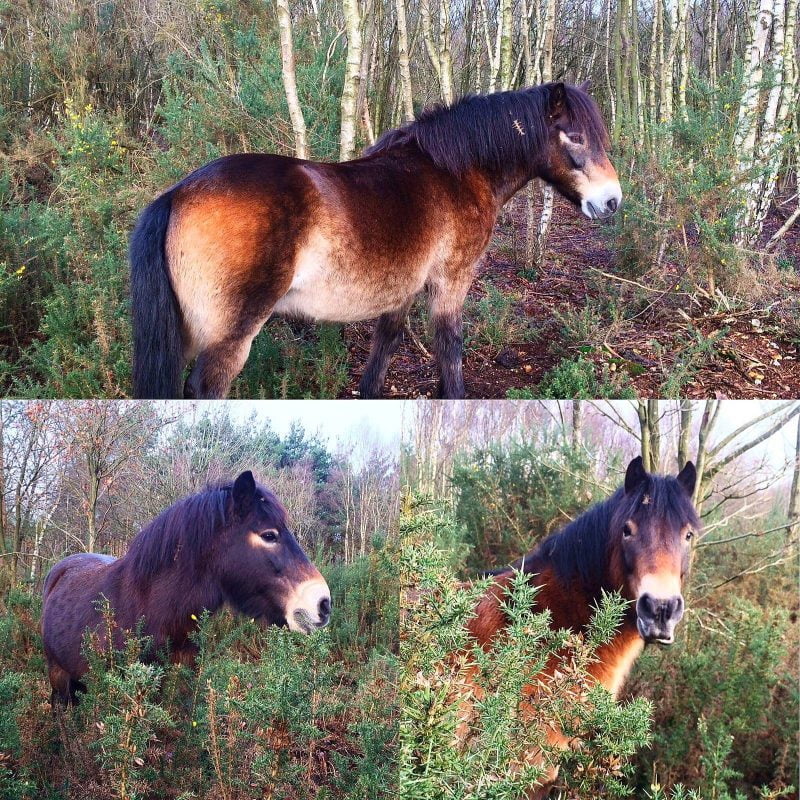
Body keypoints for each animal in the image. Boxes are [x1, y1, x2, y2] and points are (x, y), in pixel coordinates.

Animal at [130, 81, 620, 400]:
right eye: (576, 136)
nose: (612, 200)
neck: (456, 171)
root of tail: (178, 194)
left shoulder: (400, 291)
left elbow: (384, 347)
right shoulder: (450, 282)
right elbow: (449, 347)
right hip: (228, 337)